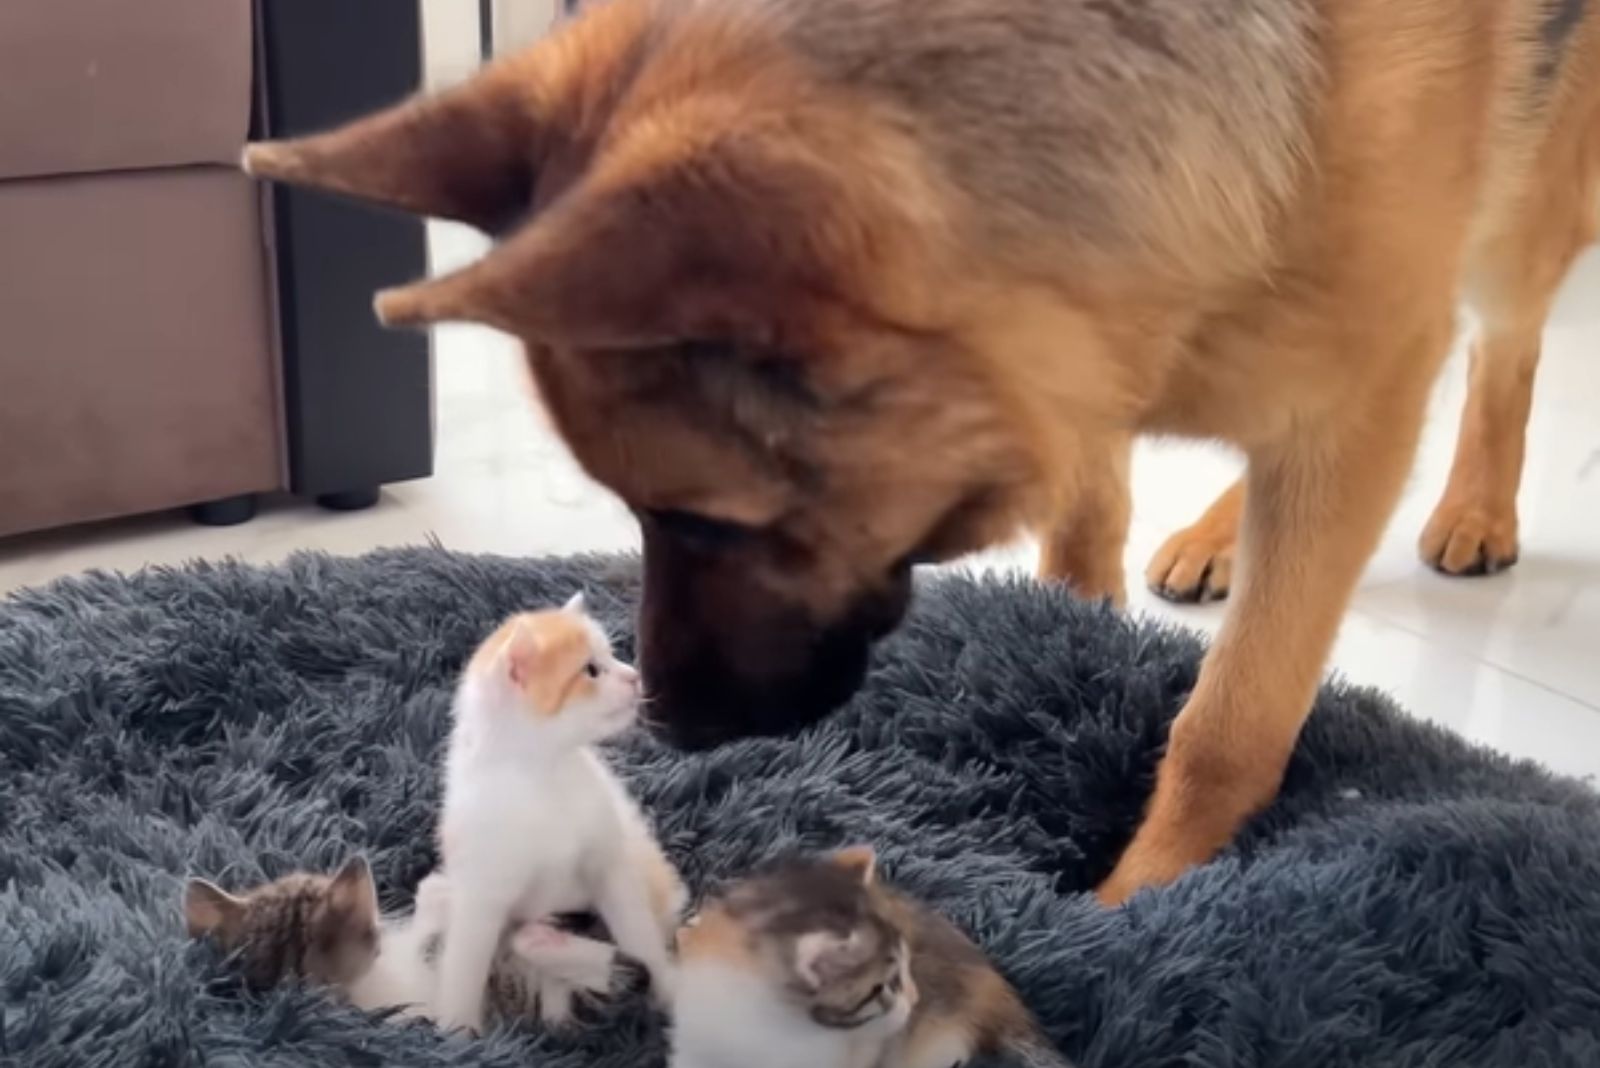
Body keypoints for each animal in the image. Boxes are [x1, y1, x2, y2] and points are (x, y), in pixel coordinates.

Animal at [243, 0, 1593, 901]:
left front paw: (1135, 903)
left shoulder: (1351, 405)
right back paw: (1217, 530)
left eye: (703, 519)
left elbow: (1230, 723)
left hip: (1514, 220)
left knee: (1506, 343)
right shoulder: (1088, 356)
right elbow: (1083, 539)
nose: (660, 720)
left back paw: (1475, 503)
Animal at [432, 597, 681, 1029]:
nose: (634, 676)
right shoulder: (480, 896)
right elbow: (465, 967)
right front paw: (457, 1031)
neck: (541, 776)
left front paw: (666, 994)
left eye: (611, 655)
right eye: (591, 670)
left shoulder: (610, 867)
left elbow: (640, 936)